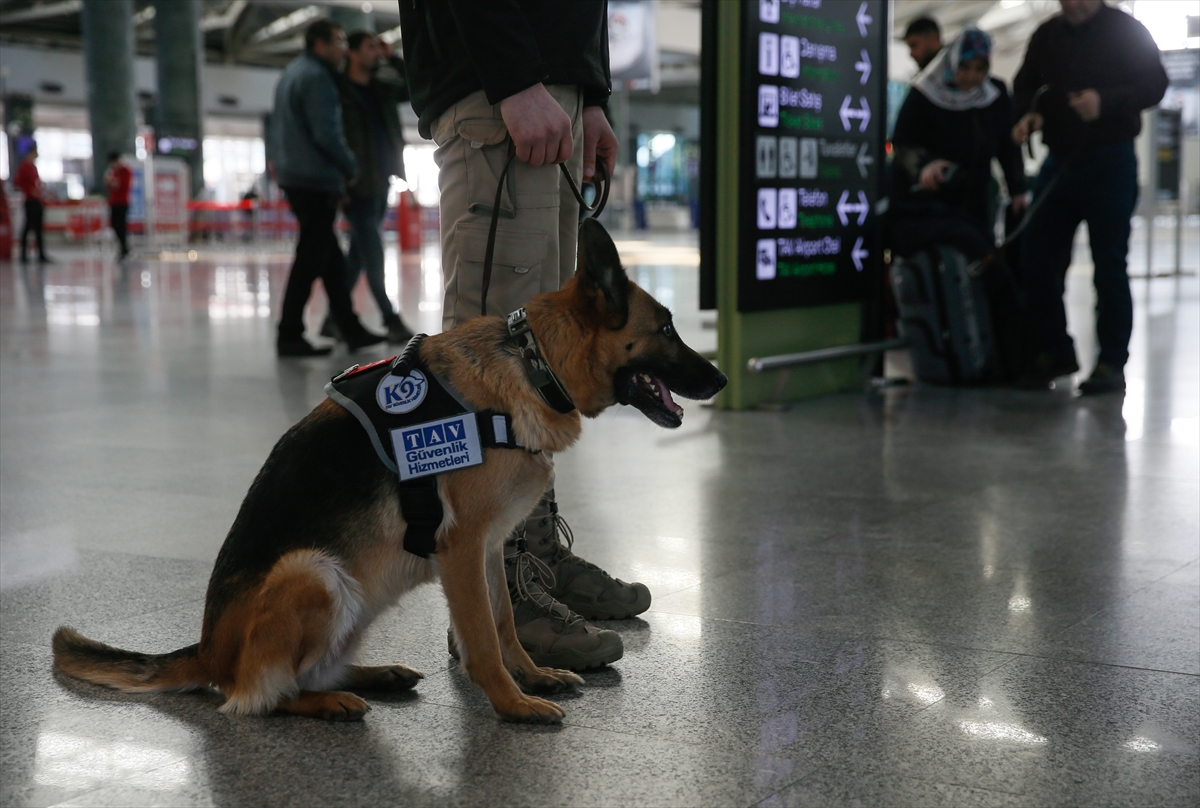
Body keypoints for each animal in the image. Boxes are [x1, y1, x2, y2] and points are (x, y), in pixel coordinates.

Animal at [51, 217, 724, 720]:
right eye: (666, 329)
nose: (719, 379)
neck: (532, 366)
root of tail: (209, 651)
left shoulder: (489, 547)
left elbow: (505, 622)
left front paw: (532, 676)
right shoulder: (461, 549)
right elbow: (481, 641)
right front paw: (512, 705)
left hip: (356, 597)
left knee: (306, 673)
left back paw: (375, 675)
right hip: (313, 573)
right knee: (260, 696)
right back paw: (326, 703)